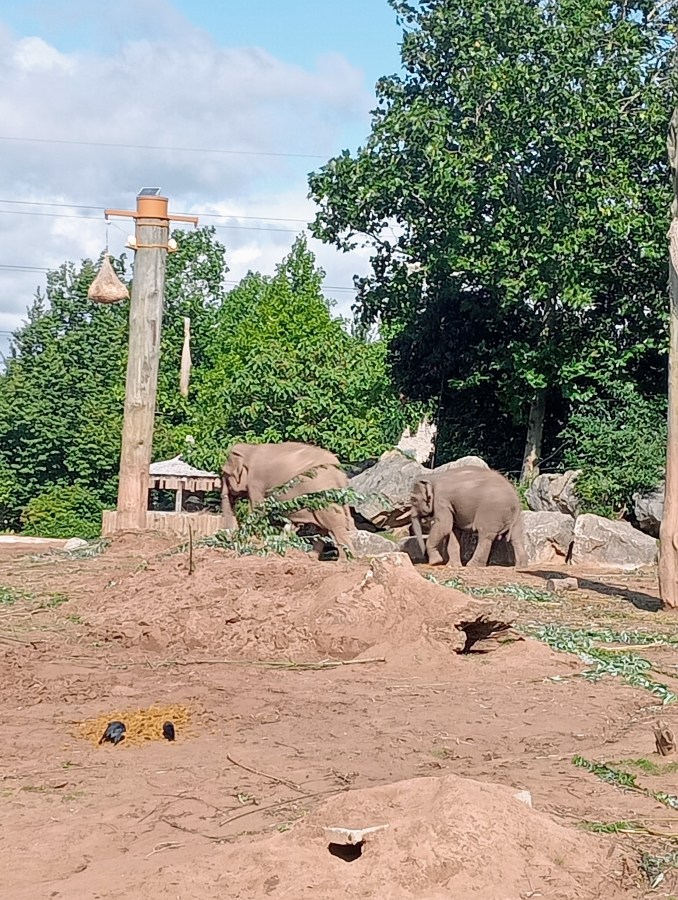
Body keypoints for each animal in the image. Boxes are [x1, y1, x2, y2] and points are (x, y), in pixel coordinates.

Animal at [221, 441, 354, 559]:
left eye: (225, 473)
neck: (251, 448)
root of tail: (340, 474)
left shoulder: (256, 482)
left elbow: (257, 510)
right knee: (325, 525)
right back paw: (312, 557)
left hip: (323, 494)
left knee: (334, 524)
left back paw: (345, 560)